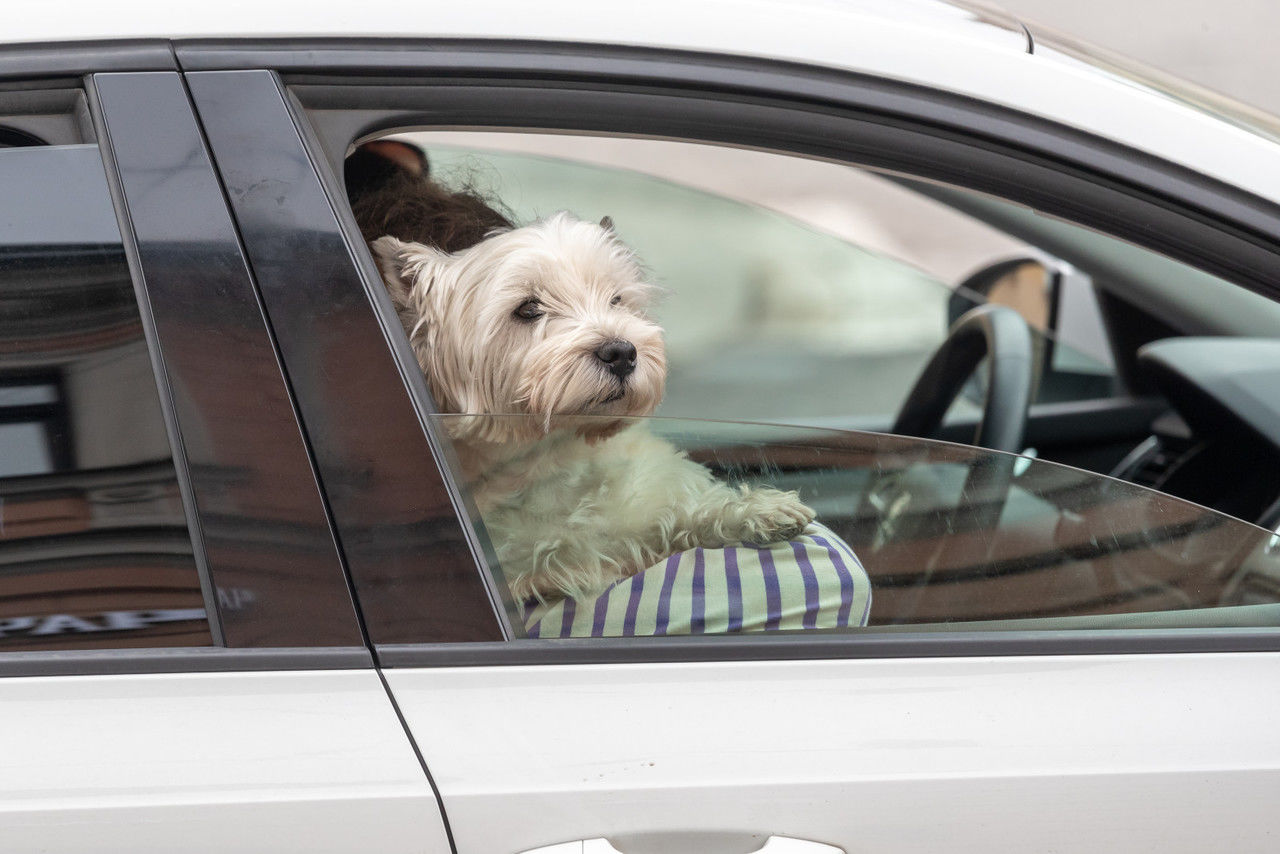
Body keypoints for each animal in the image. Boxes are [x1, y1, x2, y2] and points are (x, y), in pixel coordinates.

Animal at [373, 212, 808, 601]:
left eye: (616, 299)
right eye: (527, 309)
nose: (622, 353)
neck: (551, 458)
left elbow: (679, 508)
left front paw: (758, 511)